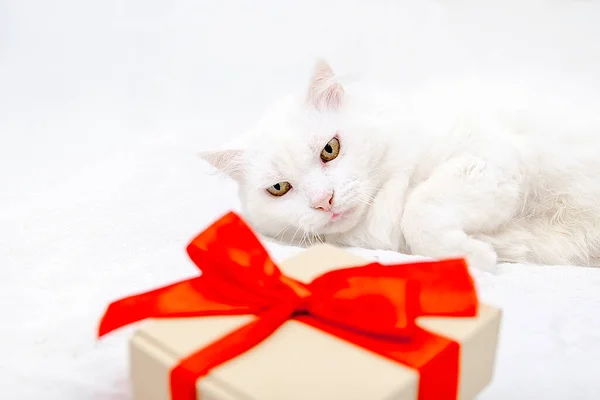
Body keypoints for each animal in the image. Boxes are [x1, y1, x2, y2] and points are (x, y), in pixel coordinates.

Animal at [200, 60, 600, 272]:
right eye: (279, 189)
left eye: (330, 150)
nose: (323, 201)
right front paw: (475, 250)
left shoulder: (486, 160)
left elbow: (419, 210)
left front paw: (473, 257)